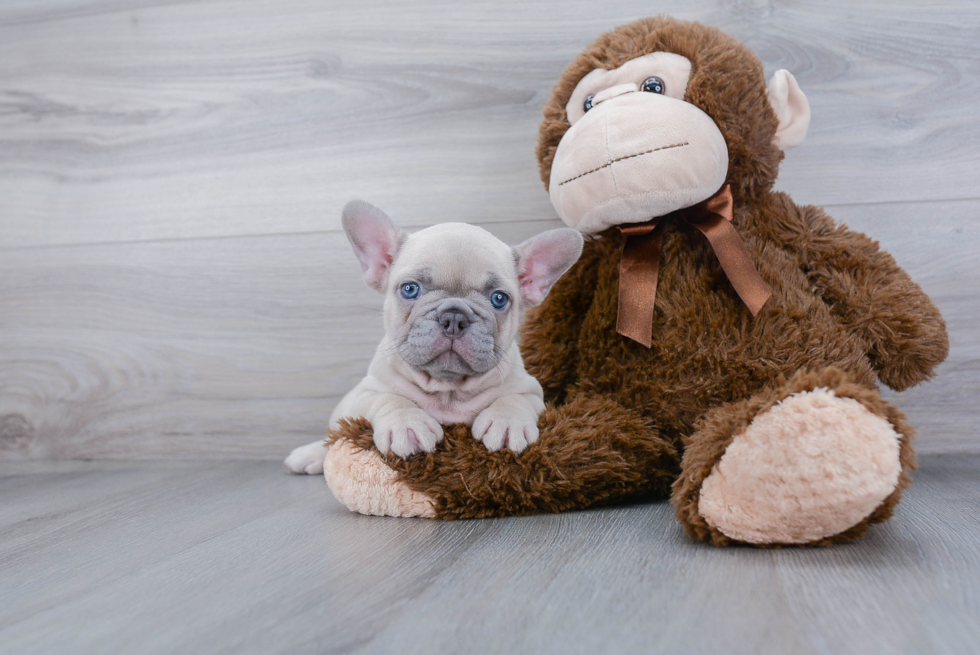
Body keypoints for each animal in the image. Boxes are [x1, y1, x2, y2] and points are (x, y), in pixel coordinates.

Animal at [284, 201, 580, 476]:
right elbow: (389, 398)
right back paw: (310, 455)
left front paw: (507, 423)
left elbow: (514, 399)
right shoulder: (366, 392)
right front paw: (406, 424)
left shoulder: (532, 390)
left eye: (499, 298)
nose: (454, 317)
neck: (447, 389)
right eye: (409, 289)